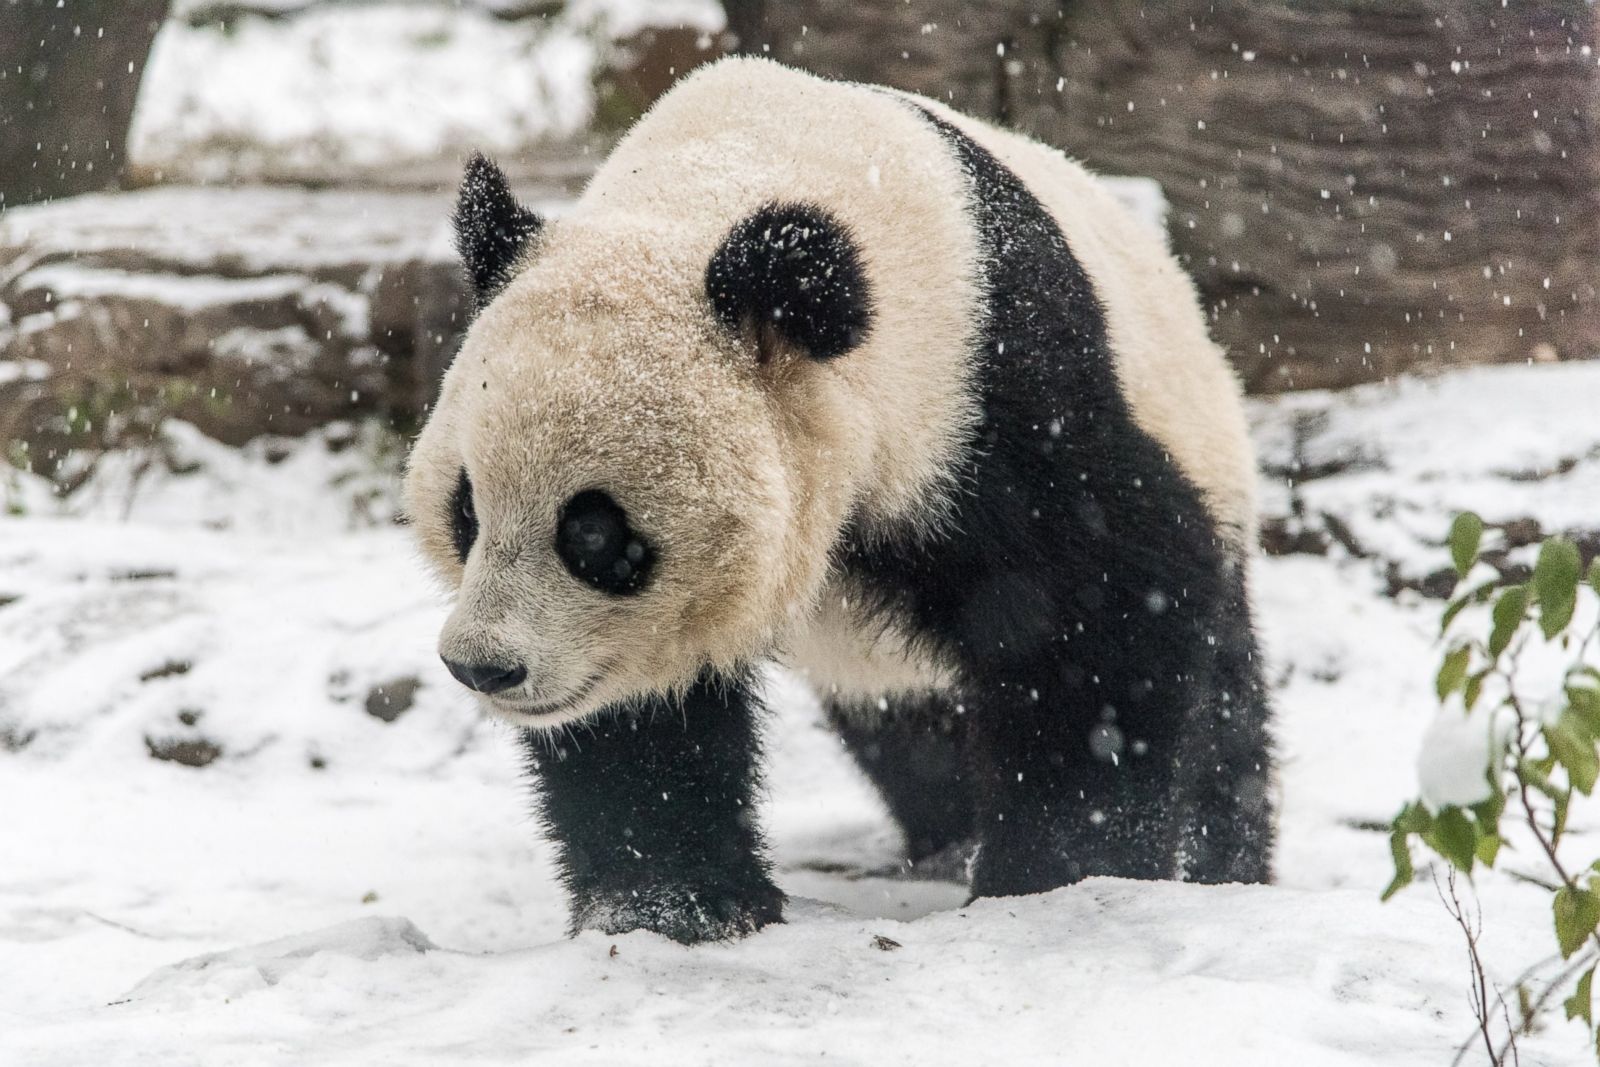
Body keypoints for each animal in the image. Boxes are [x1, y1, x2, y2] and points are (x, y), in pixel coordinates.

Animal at [403, 57, 1274, 945]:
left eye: (592, 534)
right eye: (466, 511)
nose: (482, 665)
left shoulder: (993, 395)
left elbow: (1096, 608)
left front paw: (1054, 878)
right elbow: (642, 714)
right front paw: (671, 906)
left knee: (1223, 694)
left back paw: (1215, 862)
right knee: (908, 720)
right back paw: (947, 835)